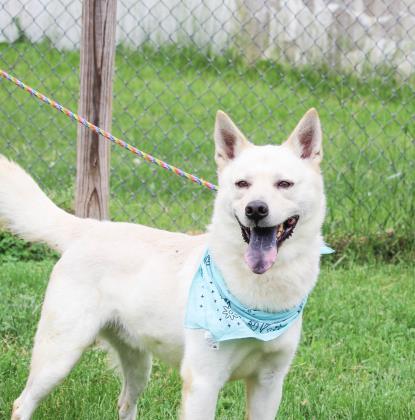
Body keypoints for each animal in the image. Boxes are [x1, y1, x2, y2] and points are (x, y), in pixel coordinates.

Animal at [1, 109, 328, 420]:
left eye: (284, 184)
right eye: (242, 184)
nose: (256, 209)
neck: (258, 298)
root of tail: (90, 228)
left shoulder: (269, 383)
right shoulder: (203, 383)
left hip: (138, 363)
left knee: (125, 405)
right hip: (58, 357)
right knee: (21, 404)